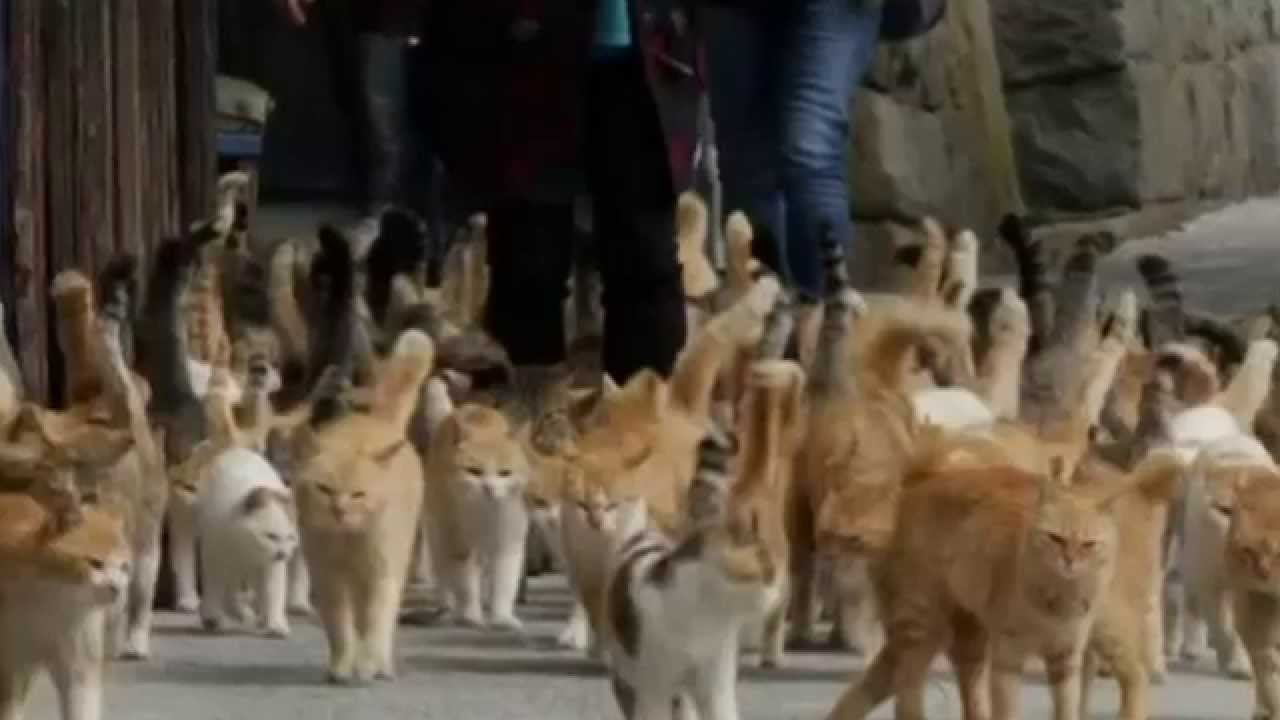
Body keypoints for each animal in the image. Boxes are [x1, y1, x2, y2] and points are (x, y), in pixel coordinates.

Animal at [195, 445, 298, 635]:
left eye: (290, 538)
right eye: (271, 536)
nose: (282, 554)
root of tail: (237, 450)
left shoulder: (271, 566)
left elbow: (274, 592)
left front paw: (276, 624)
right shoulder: (215, 555)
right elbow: (215, 586)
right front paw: (213, 617)